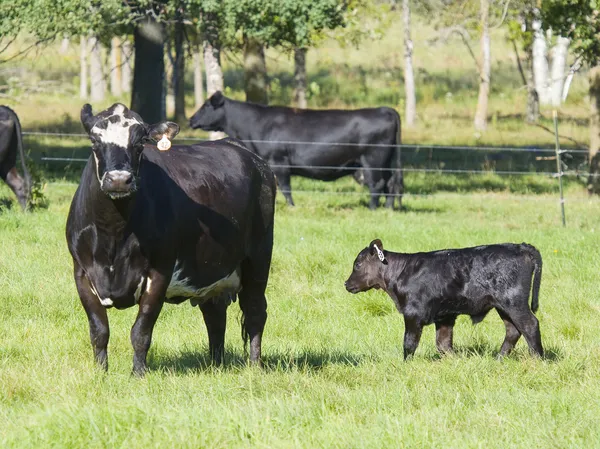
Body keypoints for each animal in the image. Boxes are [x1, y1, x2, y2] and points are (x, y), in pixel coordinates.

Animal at [66, 102, 276, 374]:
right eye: (94, 141)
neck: (112, 234)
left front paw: (138, 373)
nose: (119, 180)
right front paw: (101, 373)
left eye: (140, 142)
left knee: (255, 312)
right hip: (212, 270)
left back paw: (255, 366)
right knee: (215, 316)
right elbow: (99, 331)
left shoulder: (160, 271)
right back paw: (215, 365)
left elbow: (141, 331)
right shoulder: (82, 272)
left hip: (259, 257)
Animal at [189, 91, 404, 212]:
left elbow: (286, 187)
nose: (191, 119)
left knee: (377, 184)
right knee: (391, 184)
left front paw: (291, 207)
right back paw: (388, 209)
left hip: (373, 160)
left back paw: (372, 209)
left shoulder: (279, 161)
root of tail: (385, 109)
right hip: (386, 162)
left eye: (206, 105)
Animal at [342, 240, 544, 358]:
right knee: (513, 330)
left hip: (514, 301)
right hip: (503, 306)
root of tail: (521, 246)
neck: (401, 273)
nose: (346, 283)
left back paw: (538, 359)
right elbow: (443, 344)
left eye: (357, 264)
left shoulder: (412, 314)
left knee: (529, 325)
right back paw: (499, 359)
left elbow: (409, 343)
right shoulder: (445, 316)